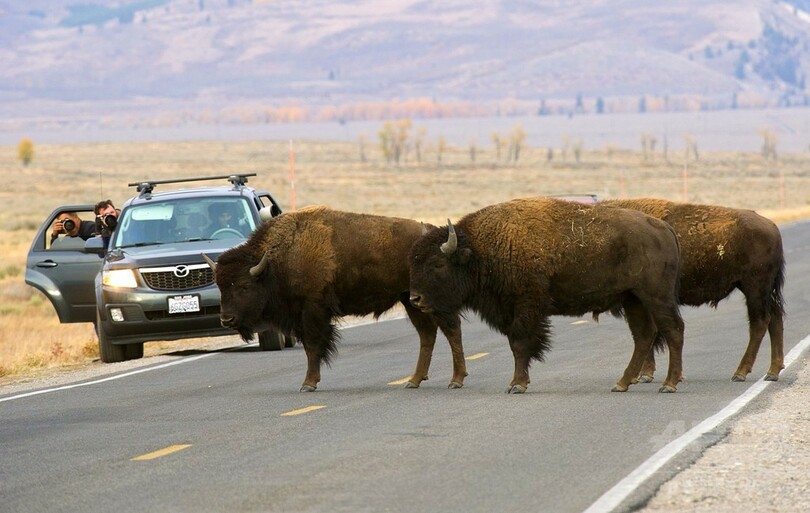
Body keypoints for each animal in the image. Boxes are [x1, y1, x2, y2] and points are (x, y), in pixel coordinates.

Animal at [205, 206, 464, 390]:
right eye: (220, 286)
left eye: (244, 286)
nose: (226, 319)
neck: (279, 259)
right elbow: (311, 347)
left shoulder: (312, 311)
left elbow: (312, 346)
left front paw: (308, 384)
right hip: (411, 301)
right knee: (427, 334)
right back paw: (414, 380)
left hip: (427, 301)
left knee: (451, 330)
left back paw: (456, 379)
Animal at [408, 196, 684, 392]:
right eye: (414, 262)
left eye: (438, 264)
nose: (415, 298)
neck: (480, 249)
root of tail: (665, 228)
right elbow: (516, 344)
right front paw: (519, 382)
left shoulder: (526, 307)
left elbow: (520, 343)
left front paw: (517, 385)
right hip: (632, 299)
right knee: (644, 336)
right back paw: (622, 383)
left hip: (656, 296)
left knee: (673, 329)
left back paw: (668, 384)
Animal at [600, 198, 784, 382]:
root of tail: (772, 226)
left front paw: (645, 375)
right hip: (763, 291)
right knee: (775, 319)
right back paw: (772, 372)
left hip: (755, 289)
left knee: (760, 323)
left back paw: (740, 373)